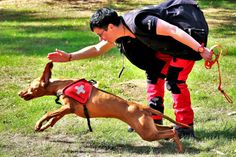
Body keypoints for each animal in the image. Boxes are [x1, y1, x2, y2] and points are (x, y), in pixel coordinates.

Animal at [18, 62, 190, 153]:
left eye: (31, 86)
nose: (20, 93)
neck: (62, 85)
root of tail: (142, 107)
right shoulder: (67, 109)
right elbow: (54, 118)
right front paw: (43, 127)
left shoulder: (69, 107)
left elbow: (49, 113)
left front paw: (39, 124)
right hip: (150, 127)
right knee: (170, 128)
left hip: (146, 132)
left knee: (171, 131)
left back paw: (180, 149)